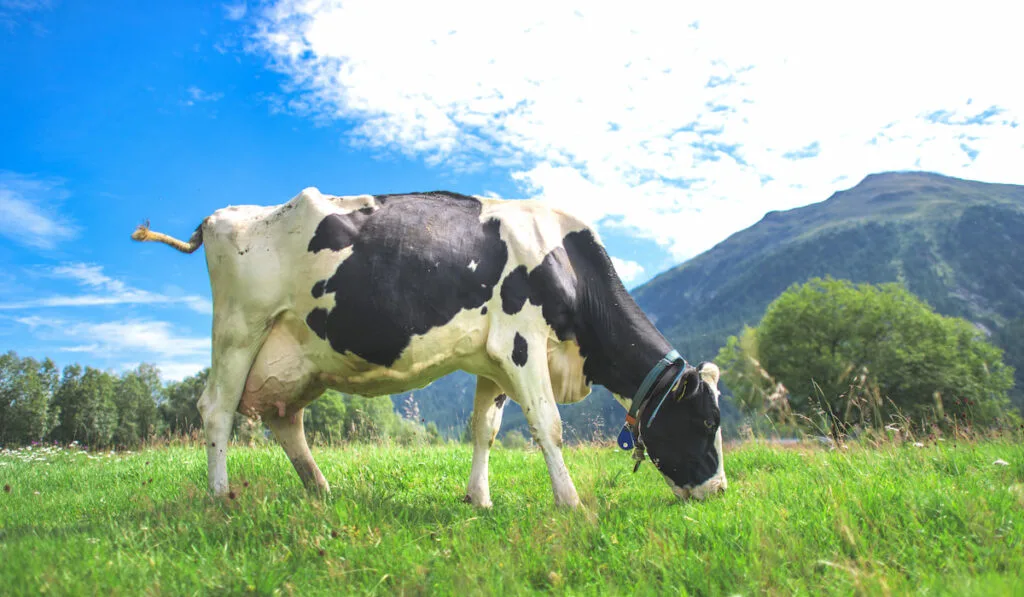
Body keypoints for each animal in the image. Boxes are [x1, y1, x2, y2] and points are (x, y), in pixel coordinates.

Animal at [134, 189, 729, 507]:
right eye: (706, 423)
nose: (721, 490)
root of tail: (223, 215)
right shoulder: (521, 340)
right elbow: (549, 425)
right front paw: (571, 502)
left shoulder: (493, 359)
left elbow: (485, 429)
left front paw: (479, 499)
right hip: (240, 328)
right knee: (216, 408)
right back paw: (221, 497)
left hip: (296, 356)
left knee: (285, 420)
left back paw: (321, 488)